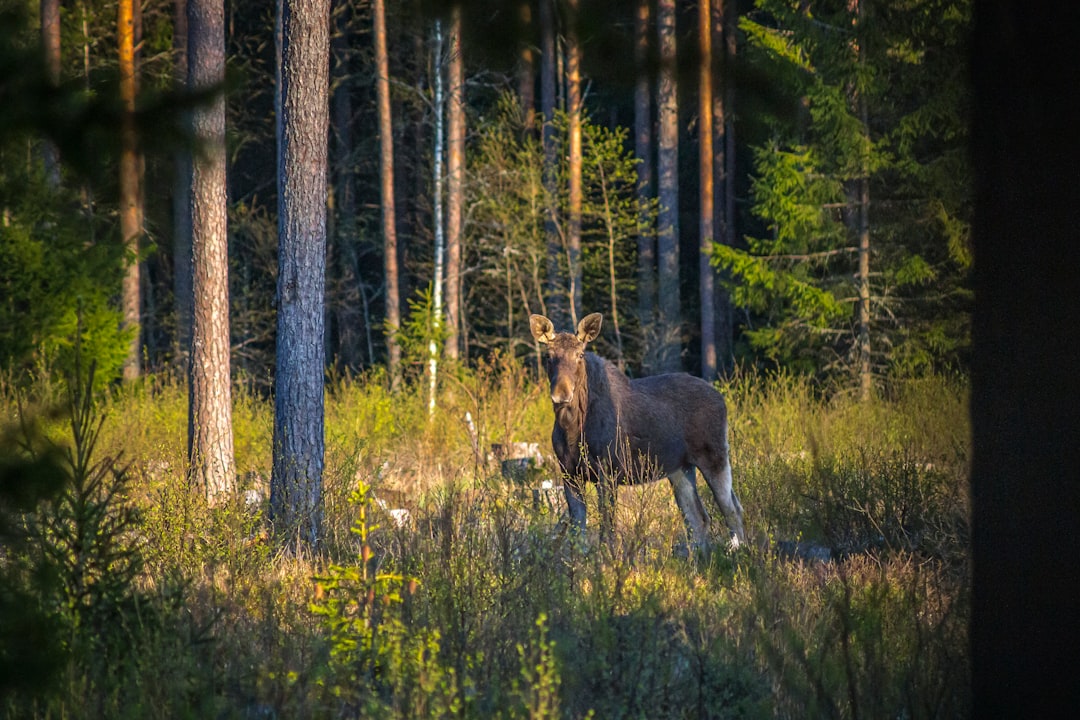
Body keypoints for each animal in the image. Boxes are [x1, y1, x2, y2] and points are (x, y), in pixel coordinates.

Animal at [529, 310, 747, 552]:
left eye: (580, 354)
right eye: (548, 356)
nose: (561, 394)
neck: (572, 428)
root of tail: (722, 399)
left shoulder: (607, 472)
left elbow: (607, 530)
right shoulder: (569, 473)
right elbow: (578, 533)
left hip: (714, 455)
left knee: (733, 509)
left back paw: (738, 551)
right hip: (680, 468)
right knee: (698, 517)